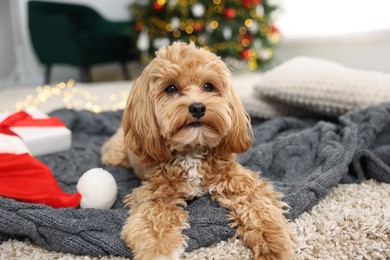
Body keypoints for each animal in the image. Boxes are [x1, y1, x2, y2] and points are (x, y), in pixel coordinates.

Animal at [102, 41, 294, 258]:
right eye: (171, 88)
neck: (192, 150)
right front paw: (159, 250)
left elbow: (261, 210)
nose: (198, 107)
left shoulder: (241, 183)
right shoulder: (154, 194)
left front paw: (275, 244)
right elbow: (154, 221)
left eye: (208, 86)